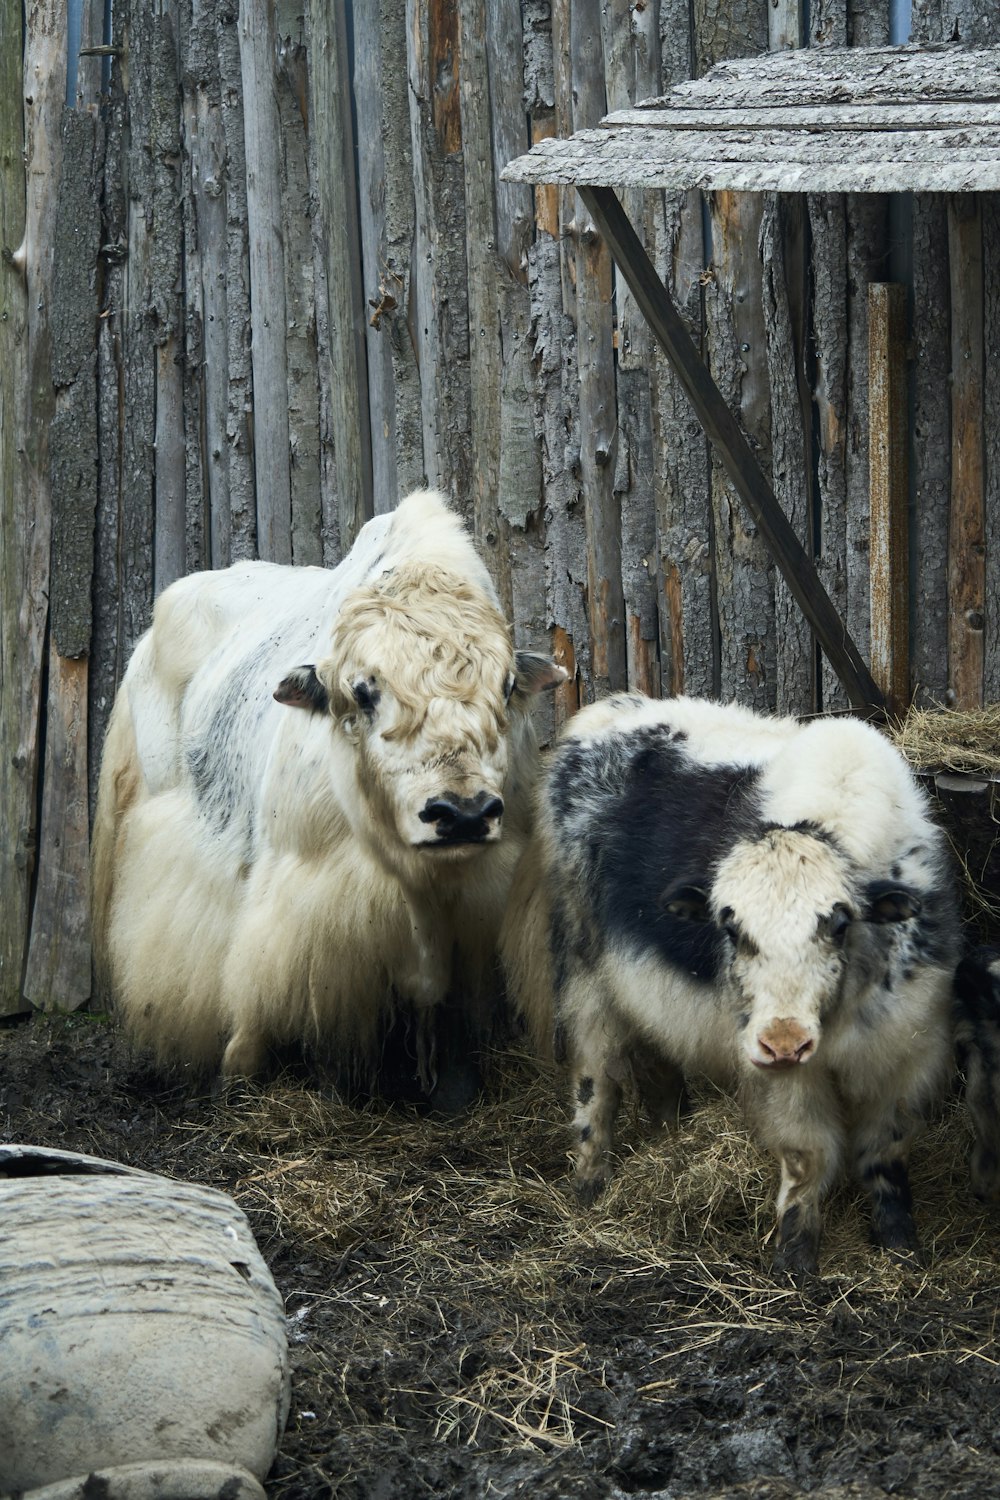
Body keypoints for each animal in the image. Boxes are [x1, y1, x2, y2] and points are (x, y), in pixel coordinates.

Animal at [509, 696, 959, 1272]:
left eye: (838, 922)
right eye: (730, 926)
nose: (785, 1042)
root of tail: (602, 713)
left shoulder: (906, 1052)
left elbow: (885, 1151)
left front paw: (900, 1244)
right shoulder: (785, 1078)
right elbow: (809, 1154)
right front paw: (795, 1258)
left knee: (657, 1062)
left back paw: (671, 1139)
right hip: (587, 979)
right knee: (598, 1078)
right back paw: (590, 1187)